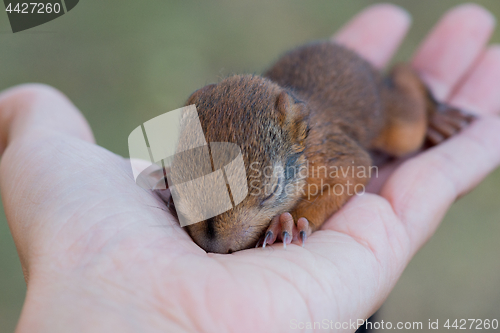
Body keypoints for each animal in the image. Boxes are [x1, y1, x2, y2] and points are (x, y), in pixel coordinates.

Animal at [163, 40, 472, 253]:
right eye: (176, 183)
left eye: (272, 191)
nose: (214, 247)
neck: (306, 150)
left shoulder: (336, 151)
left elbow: (353, 174)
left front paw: (291, 221)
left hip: (400, 126)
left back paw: (434, 111)